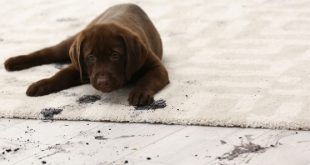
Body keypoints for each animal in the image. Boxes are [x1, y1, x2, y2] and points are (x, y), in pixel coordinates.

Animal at [3, 3, 170, 105]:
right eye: (91, 57)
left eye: (115, 56)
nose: (102, 82)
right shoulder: (79, 66)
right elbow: (61, 75)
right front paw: (42, 84)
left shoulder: (156, 67)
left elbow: (148, 80)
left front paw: (140, 93)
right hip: (70, 43)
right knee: (48, 52)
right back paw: (13, 62)